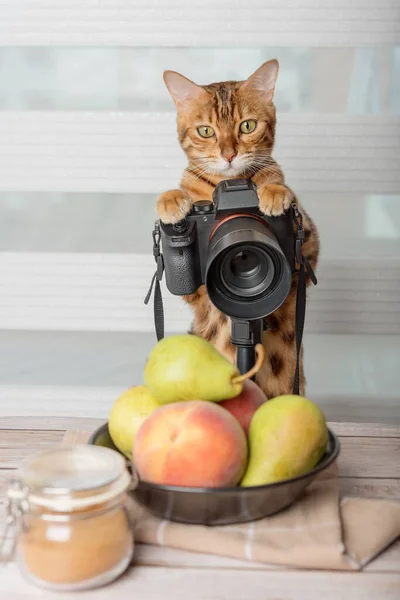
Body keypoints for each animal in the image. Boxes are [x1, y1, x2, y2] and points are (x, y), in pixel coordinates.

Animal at [156, 61, 318, 398]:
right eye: (206, 131)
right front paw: (171, 199)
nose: (229, 155)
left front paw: (274, 192)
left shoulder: (307, 249)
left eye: (248, 126)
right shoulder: (198, 296)